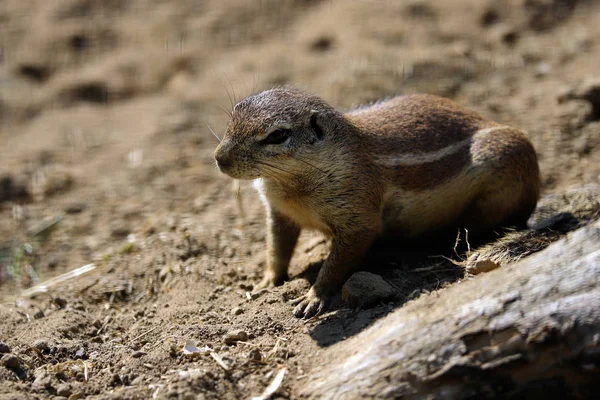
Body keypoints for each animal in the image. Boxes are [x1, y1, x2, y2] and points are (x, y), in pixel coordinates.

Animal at [213, 87, 540, 318]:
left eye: (278, 135)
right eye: (235, 111)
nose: (219, 158)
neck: (290, 186)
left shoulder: (358, 213)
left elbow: (337, 263)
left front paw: (314, 297)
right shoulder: (279, 213)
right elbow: (276, 249)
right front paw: (265, 283)